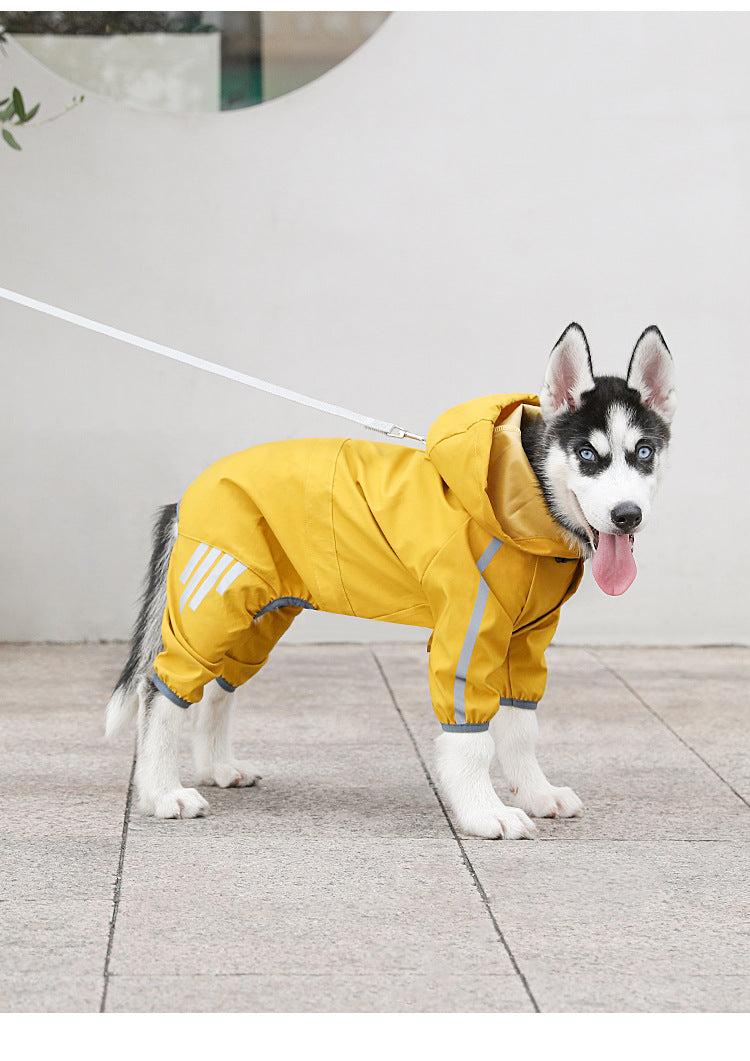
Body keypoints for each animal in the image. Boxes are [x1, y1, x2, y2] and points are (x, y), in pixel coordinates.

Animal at [108, 322, 678, 836]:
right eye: (587, 454)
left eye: (644, 452)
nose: (627, 516)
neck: (526, 500)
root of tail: (188, 493)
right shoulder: (465, 634)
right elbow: (472, 740)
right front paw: (484, 812)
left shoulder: (525, 642)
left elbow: (521, 727)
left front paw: (536, 793)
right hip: (213, 601)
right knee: (161, 687)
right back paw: (162, 792)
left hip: (259, 614)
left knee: (218, 687)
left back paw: (217, 768)